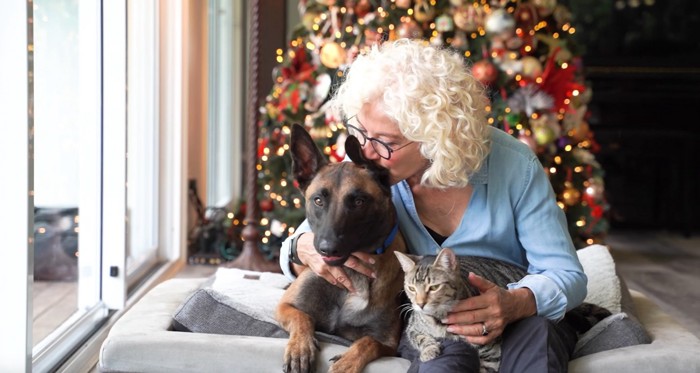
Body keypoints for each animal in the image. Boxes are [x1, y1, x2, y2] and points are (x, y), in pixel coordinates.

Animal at [274, 123, 404, 370]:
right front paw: (299, 348)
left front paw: (347, 363)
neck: (351, 276)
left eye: (359, 202)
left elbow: (368, 342)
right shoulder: (286, 307)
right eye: (318, 200)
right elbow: (303, 318)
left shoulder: (388, 343)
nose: (328, 249)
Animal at [394, 247, 612, 372]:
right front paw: (429, 350)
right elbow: (420, 337)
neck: (439, 319)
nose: (420, 304)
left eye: (433, 288)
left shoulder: (491, 352)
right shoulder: (413, 326)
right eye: (411, 288)